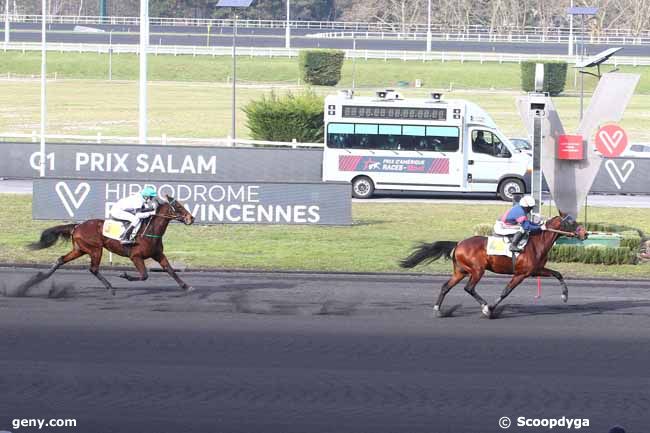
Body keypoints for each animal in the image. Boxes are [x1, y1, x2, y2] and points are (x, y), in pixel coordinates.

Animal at [24, 195, 195, 294]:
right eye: (178, 207)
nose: (191, 218)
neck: (150, 231)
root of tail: (77, 226)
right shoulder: (135, 256)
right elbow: (144, 275)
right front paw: (124, 275)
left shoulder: (158, 254)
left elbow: (170, 270)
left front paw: (187, 286)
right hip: (95, 249)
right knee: (93, 269)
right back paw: (111, 287)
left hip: (80, 249)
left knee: (61, 260)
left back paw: (39, 278)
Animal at [400, 213, 588, 318]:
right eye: (571, 223)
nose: (585, 233)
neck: (536, 243)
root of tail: (459, 243)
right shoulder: (521, 274)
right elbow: (505, 292)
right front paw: (490, 308)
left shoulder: (536, 270)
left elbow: (558, 274)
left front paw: (565, 296)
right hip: (477, 270)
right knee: (469, 288)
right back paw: (484, 307)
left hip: (461, 271)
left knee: (446, 286)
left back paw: (438, 310)